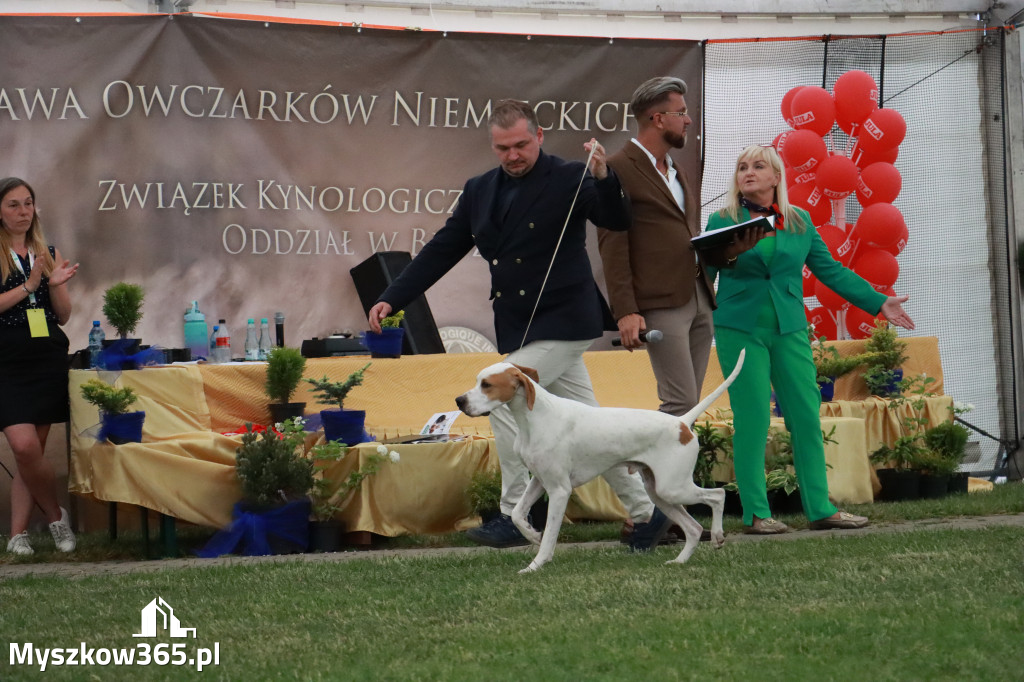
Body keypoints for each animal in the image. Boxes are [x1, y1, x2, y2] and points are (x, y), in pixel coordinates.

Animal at [460, 348, 749, 569]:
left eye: (486, 385)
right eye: (476, 381)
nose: (459, 400)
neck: (535, 418)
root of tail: (682, 423)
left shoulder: (559, 490)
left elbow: (551, 535)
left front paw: (536, 565)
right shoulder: (540, 481)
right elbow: (519, 514)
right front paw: (531, 535)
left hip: (674, 488)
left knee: (717, 496)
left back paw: (718, 536)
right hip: (660, 493)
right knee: (693, 528)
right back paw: (679, 561)